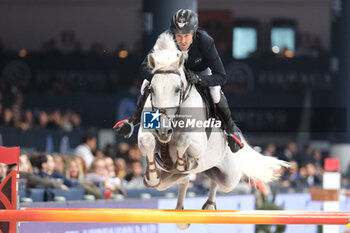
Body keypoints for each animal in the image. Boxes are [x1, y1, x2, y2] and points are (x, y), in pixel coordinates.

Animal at [137, 32, 288, 229]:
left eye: (177, 89)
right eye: (152, 89)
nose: (163, 131)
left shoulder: (198, 143)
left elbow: (183, 141)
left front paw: (183, 161)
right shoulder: (146, 134)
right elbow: (148, 142)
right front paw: (152, 175)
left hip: (230, 176)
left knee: (216, 181)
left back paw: (208, 203)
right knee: (178, 181)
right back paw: (180, 208)